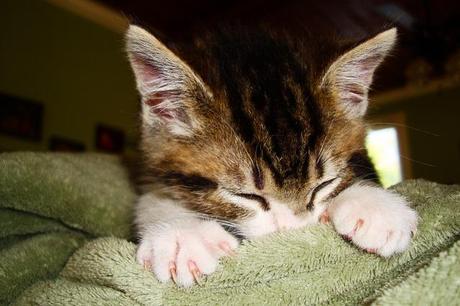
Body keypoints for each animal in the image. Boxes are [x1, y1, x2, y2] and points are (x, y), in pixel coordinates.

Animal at [125, 25, 416, 288]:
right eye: (246, 196)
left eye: (324, 184)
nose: (290, 233)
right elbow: (152, 198)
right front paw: (182, 234)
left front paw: (373, 206)